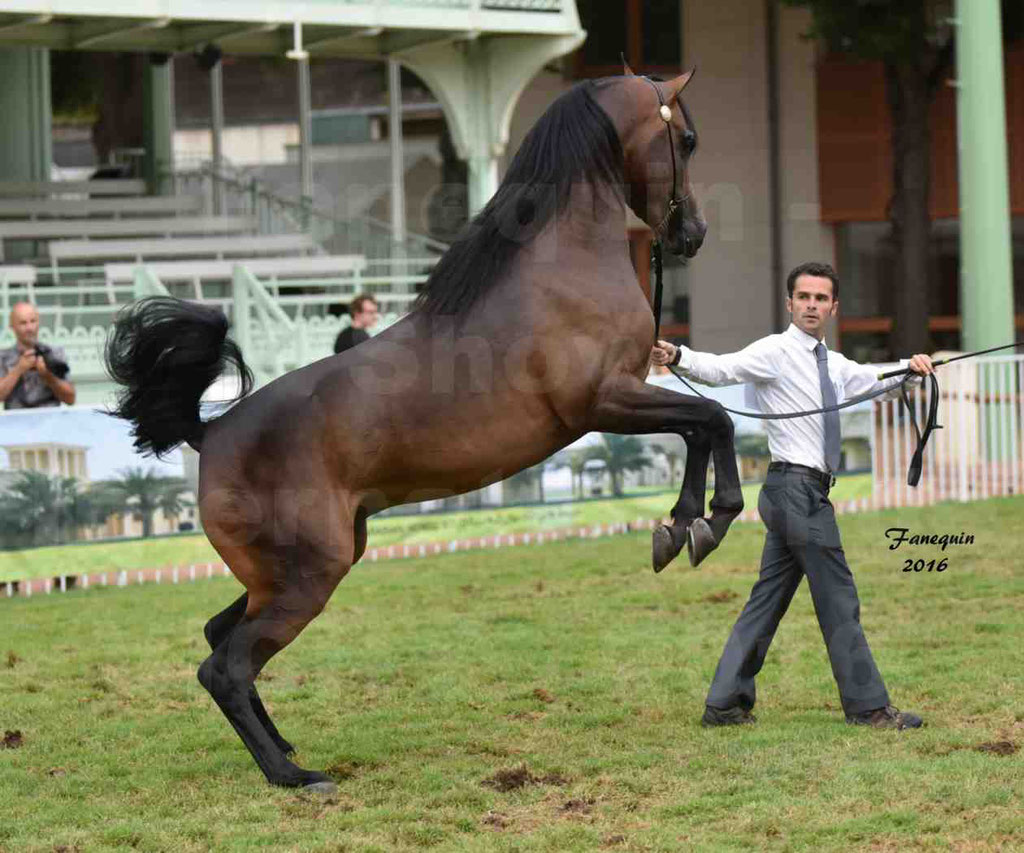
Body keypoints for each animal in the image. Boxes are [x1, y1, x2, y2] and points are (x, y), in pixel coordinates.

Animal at [103, 68, 741, 790]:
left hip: (286, 573)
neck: (563, 264)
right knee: (226, 666)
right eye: (687, 139)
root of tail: (210, 434)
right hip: (305, 576)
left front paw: (680, 527)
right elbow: (712, 420)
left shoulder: (622, 400)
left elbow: (701, 428)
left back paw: (286, 747)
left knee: (219, 637)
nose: (693, 232)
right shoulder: (604, 402)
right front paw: (706, 520)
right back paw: (295, 775)